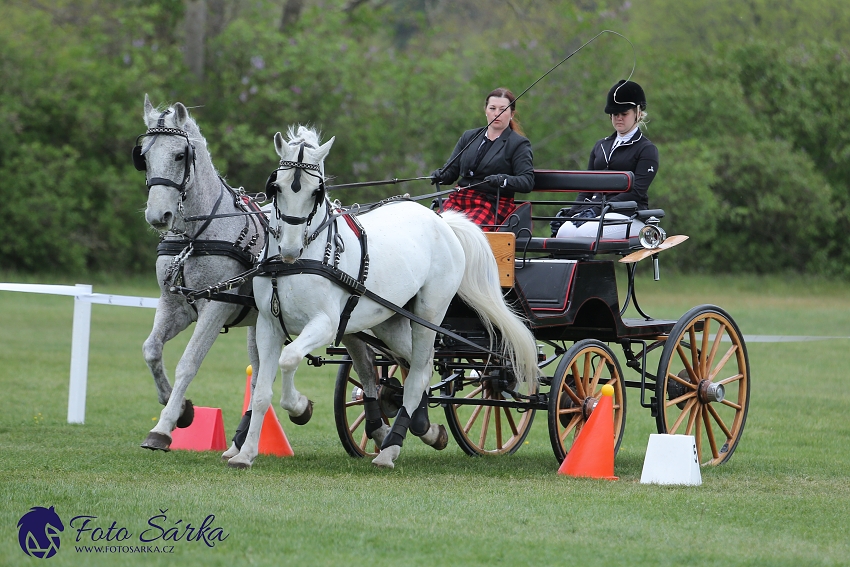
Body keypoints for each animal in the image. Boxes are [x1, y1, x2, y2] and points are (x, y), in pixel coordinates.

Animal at [227, 127, 536, 470]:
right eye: (277, 187)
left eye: (316, 192)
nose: (290, 249)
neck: (300, 262)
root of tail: (443, 222)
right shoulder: (268, 325)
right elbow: (260, 392)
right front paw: (246, 453)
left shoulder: (324, 324)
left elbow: (290, 358)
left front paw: (299, 406)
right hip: (390, 321)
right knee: (416, 366)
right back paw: (424, 430)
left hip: (429, 314)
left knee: (420, 370)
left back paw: (390, 450)